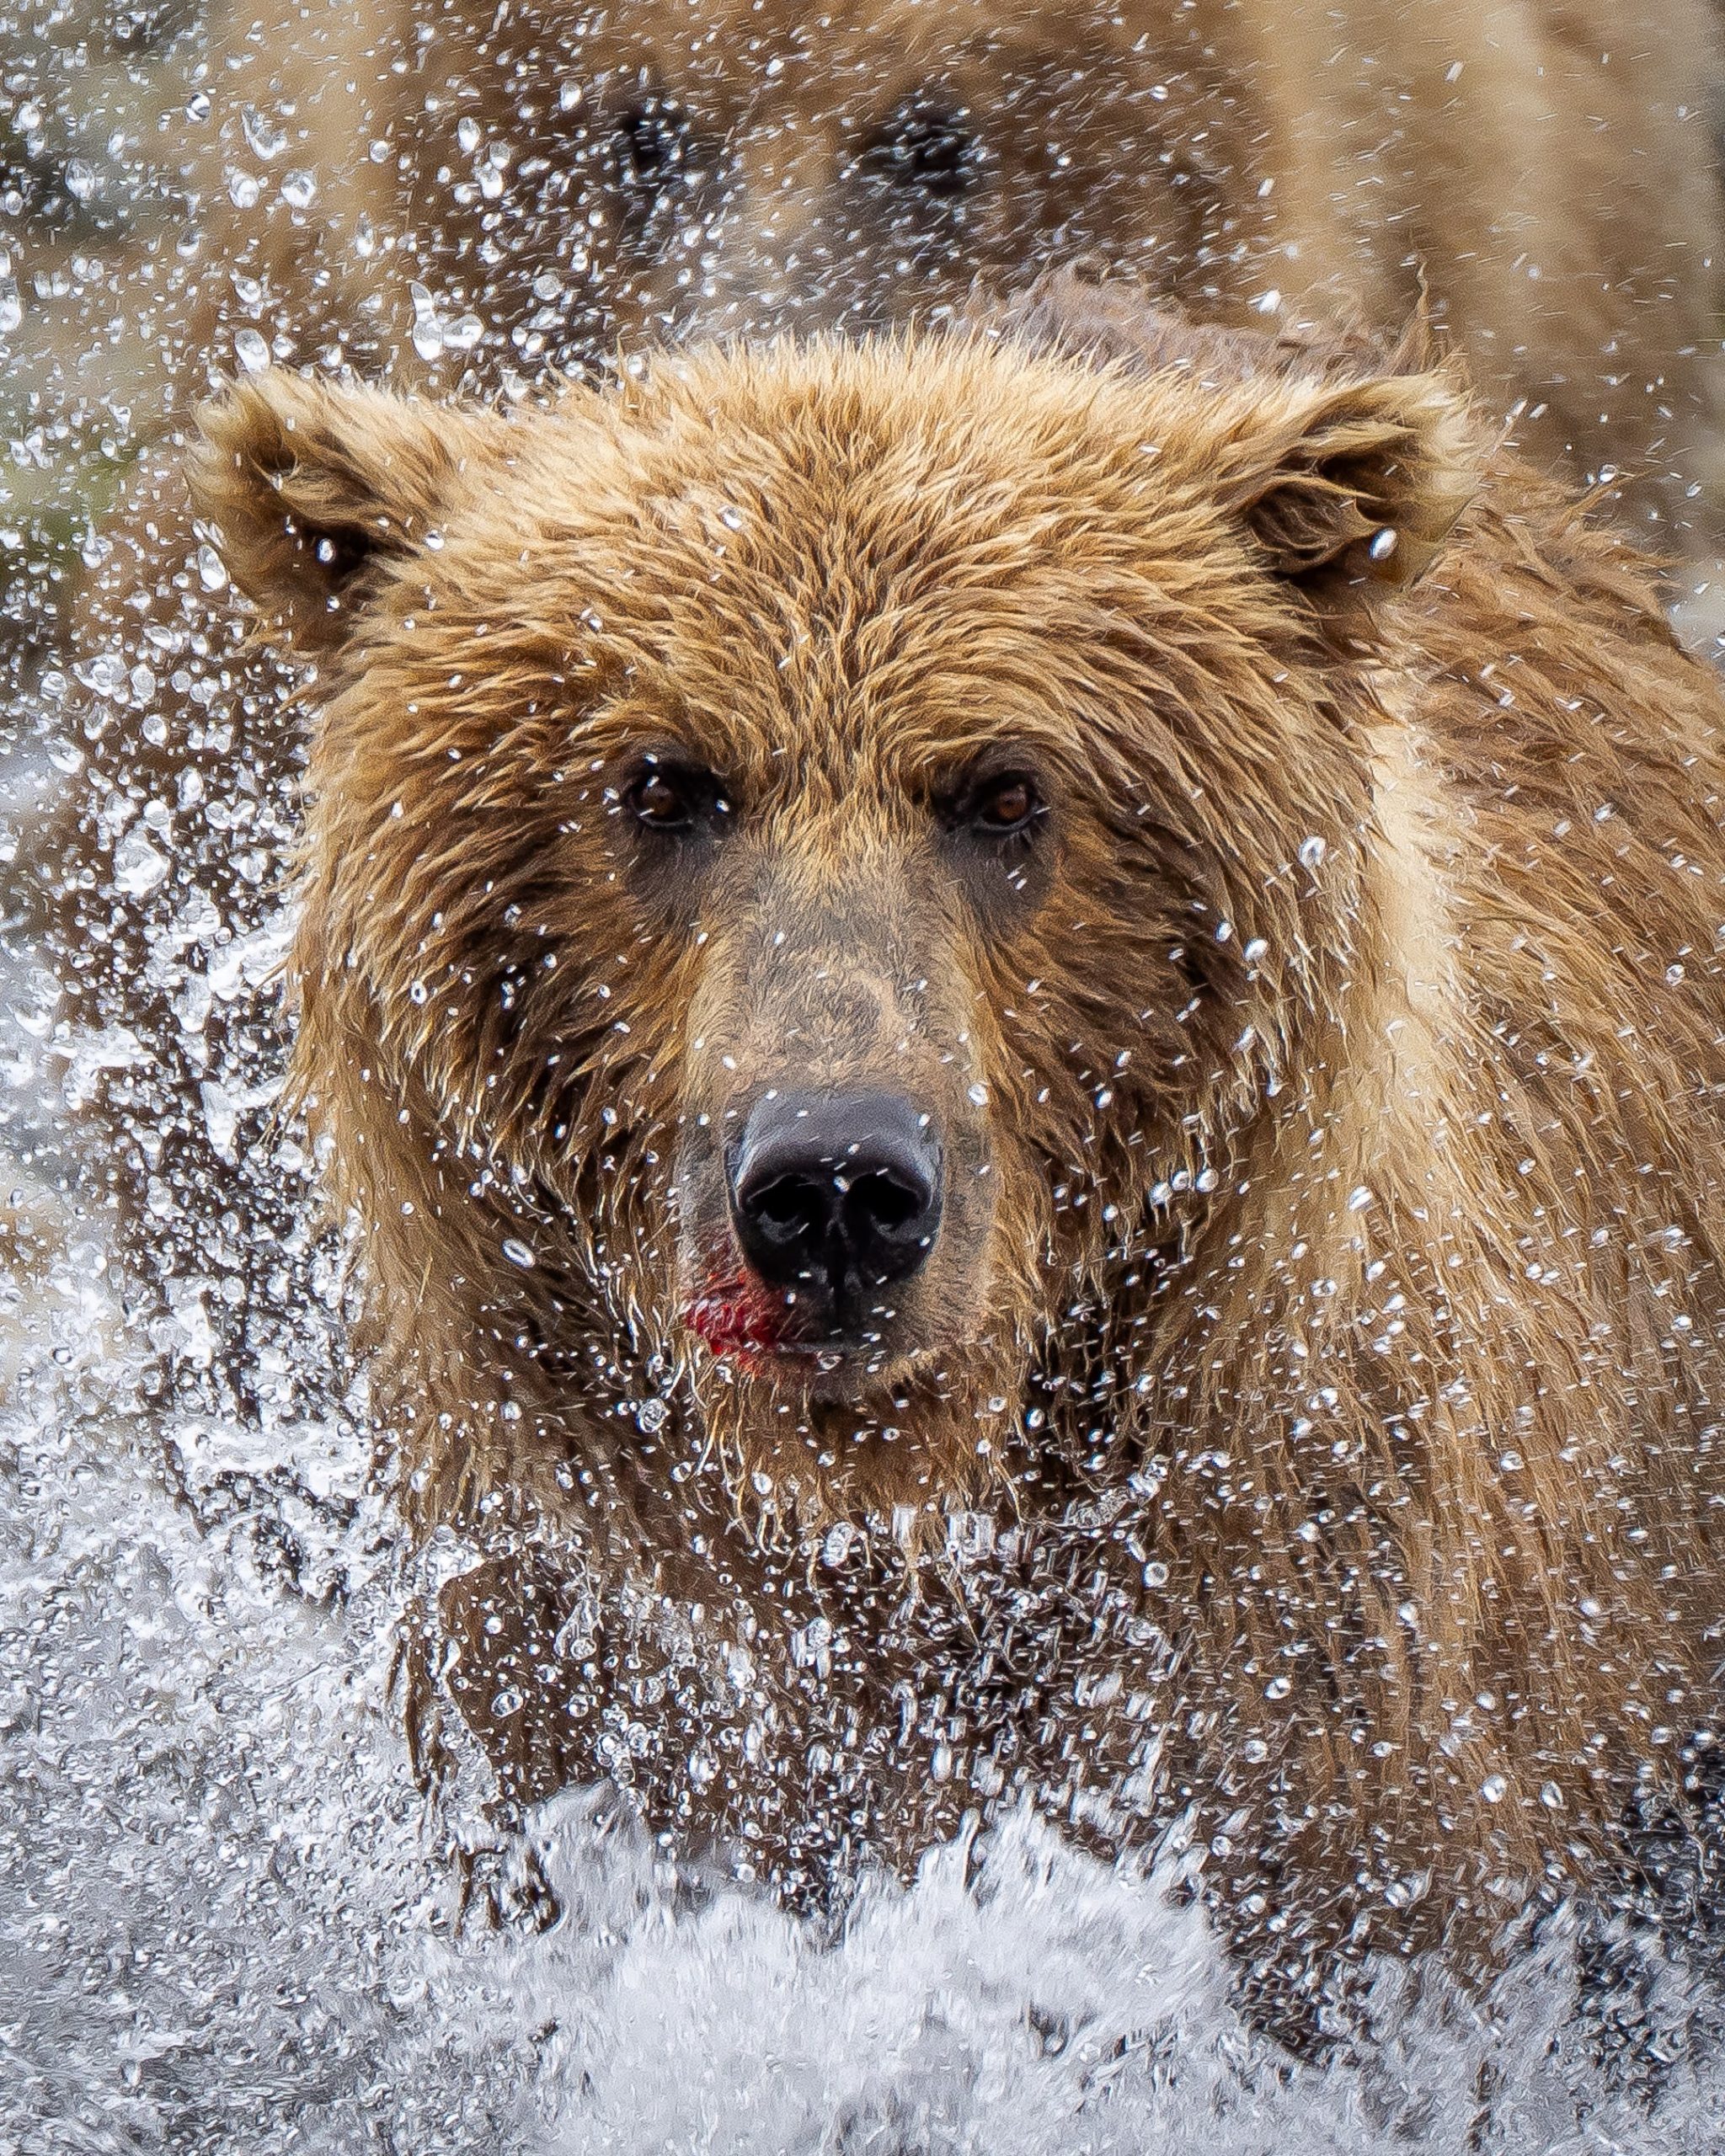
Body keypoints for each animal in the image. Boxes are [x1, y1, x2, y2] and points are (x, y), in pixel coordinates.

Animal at [182, 274, 1725, 2019]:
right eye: (664, 782)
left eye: (1003, 790)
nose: (833, 1192)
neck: (916, 1521)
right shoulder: (582, 1674)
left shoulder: (1305, 1640)